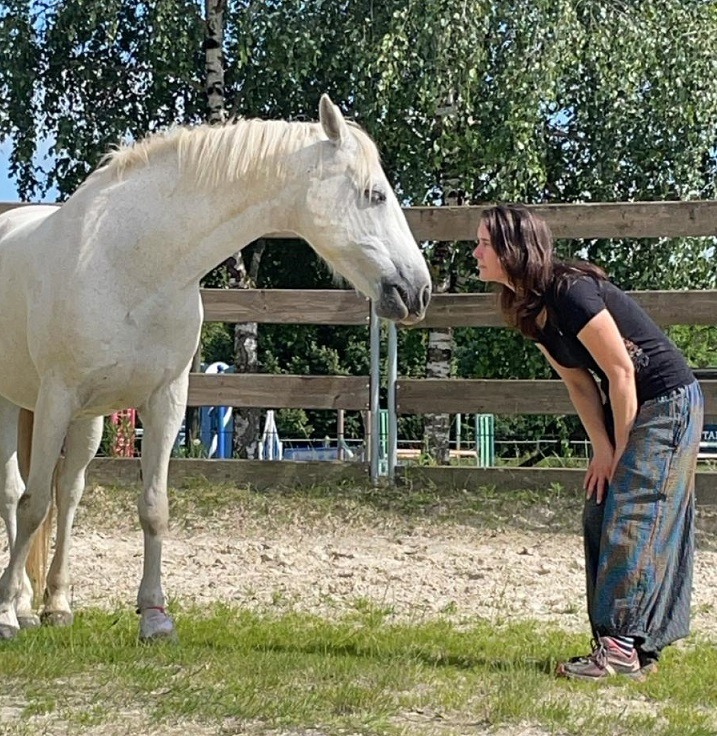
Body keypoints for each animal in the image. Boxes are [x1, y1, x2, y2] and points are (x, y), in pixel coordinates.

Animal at [0, 95, 432, 641]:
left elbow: (152, 506)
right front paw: (4, 613)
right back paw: (18, 607)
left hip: (87, 420)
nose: (419, 291)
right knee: (15, 494)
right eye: (375, 194)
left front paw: (155, 616)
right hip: (18, 404)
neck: (130, 263)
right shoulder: (57, 397)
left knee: (69, 493)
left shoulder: (165, 399)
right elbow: (32, 504)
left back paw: (53, 605)